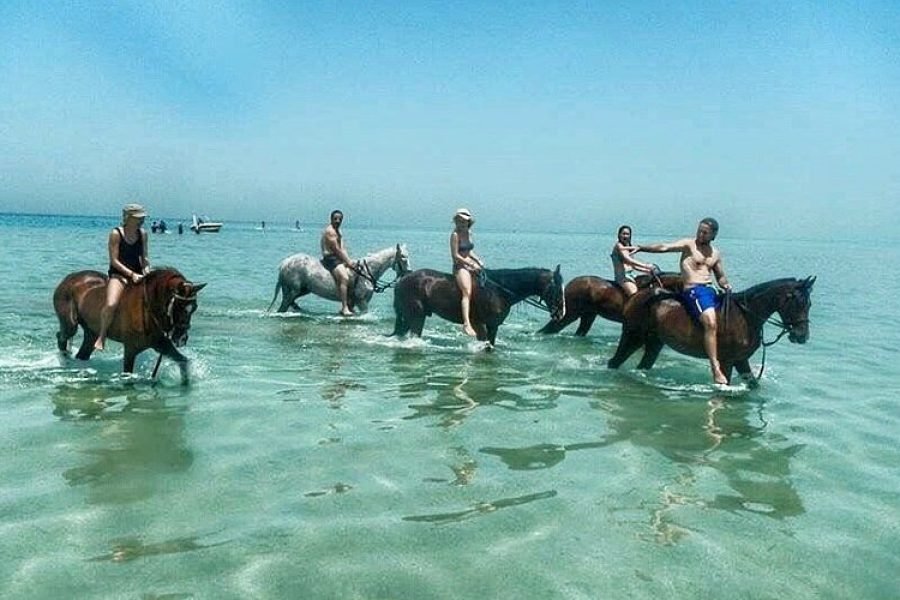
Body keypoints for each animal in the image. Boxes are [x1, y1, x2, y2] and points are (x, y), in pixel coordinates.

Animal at [53, 267, 206, 384]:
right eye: (179, 306)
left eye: (194, 307)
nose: (182, 338)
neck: (147, 309)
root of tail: (69, 278)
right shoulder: (131, 348)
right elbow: (128, 374)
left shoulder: (161, 344)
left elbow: (183, 362)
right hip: (70, 325)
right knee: (62, 336)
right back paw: (64, 359)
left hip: (92, 333)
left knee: (82, 353)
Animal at [268, 244, 410, 313]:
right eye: (403, 257)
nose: (408, 273)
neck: (366, 272)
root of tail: (284, 263)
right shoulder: (362, 301)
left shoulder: (353, 302)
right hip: (292, 291)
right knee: (283, 306)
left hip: (302, 290)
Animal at [390, 266, 566, 346]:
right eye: (557, 289)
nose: (561, 313)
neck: (498, 290)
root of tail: (401, 280)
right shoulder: (480, 324)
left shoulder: (493, 326)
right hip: (417, 317)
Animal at [607, 277, 816, 386]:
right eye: (798, 303)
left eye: (809, 304)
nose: (801, 336)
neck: (746, 316)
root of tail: (636, 296)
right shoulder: (727, 361)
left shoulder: (741, 360)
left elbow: (753, 385)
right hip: (633, 336)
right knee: (614, 362)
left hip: (654, 342)